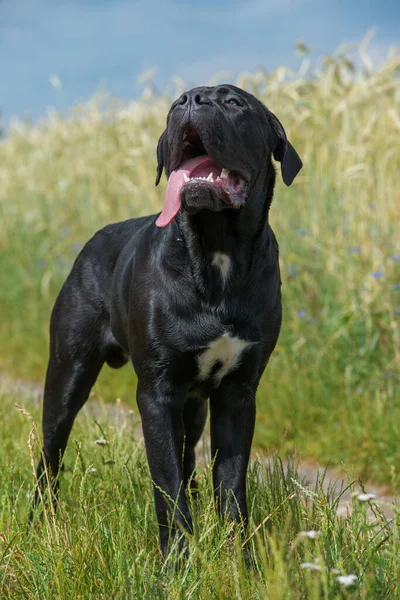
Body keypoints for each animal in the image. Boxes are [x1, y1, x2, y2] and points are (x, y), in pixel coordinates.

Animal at [34, 82, 302, 556]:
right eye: (176, 103)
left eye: (233, 102)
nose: (192, 101)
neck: (216, 252)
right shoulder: (157, 393)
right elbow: (167, 486)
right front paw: (177, 562)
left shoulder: (238, 393)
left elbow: (230, 485)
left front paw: (239, 560)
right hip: (69, 372)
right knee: (50, 453)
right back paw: (40, 522)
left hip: (193, 405)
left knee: (190, 455)